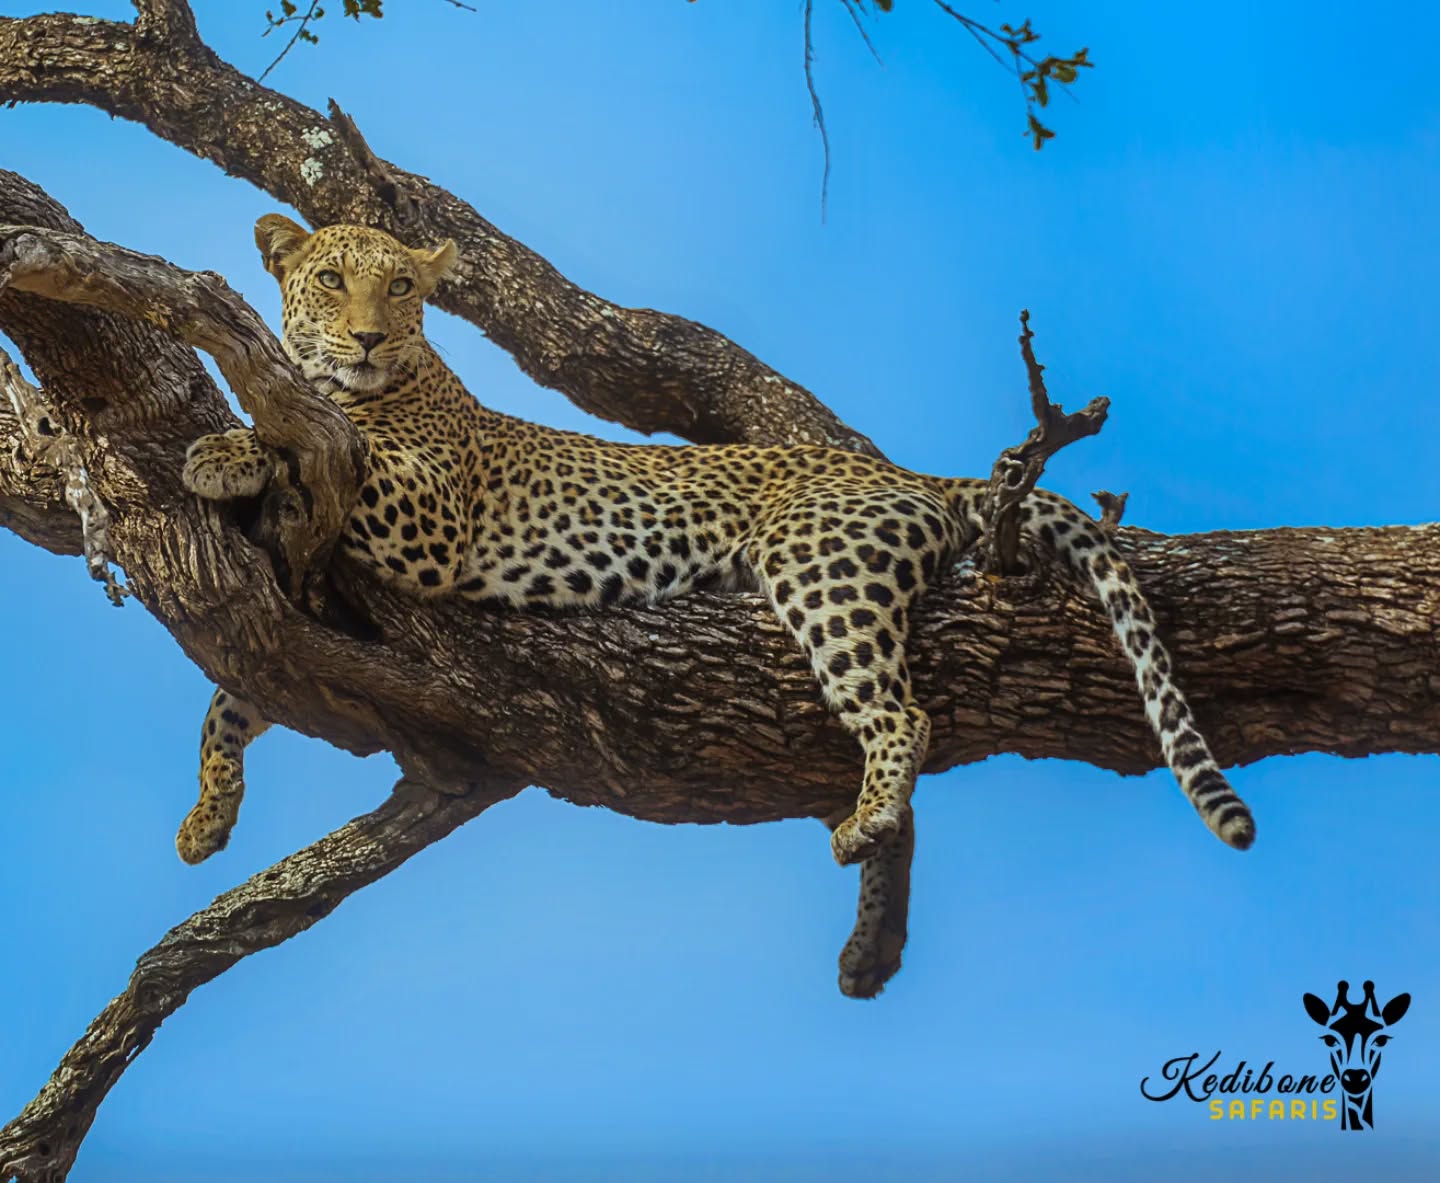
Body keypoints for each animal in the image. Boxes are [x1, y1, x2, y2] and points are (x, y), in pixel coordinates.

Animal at [178, 213, 1256, 998]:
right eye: (330, 280)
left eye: (401, 287)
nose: (367, 335)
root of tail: (904, 473)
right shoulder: (310, 614)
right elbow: (229, 698)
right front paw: (205, 819)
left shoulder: (431, 518)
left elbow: (321, 447)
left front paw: (223, 449)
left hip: (820, 565)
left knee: (901, 710)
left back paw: (867, 819)